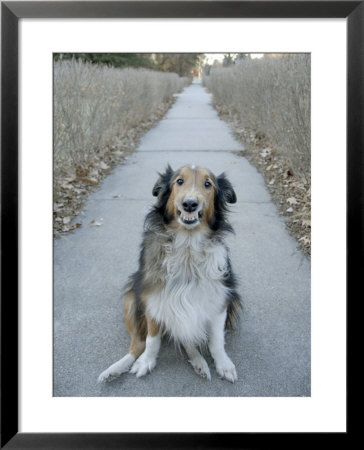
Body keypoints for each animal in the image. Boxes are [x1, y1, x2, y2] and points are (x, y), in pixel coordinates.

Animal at [99, 165, 242, 384]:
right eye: (179, 181)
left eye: (207, 184)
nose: (190, 204)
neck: (188, 246)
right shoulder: (154, 298)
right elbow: (152, 339)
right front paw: (146, 361)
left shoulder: (220, 298)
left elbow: (217, 340)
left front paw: (224, 364)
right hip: (131, 298)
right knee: (138, 344)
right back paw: (114, 369)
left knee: (187, 338)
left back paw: (199, 362)